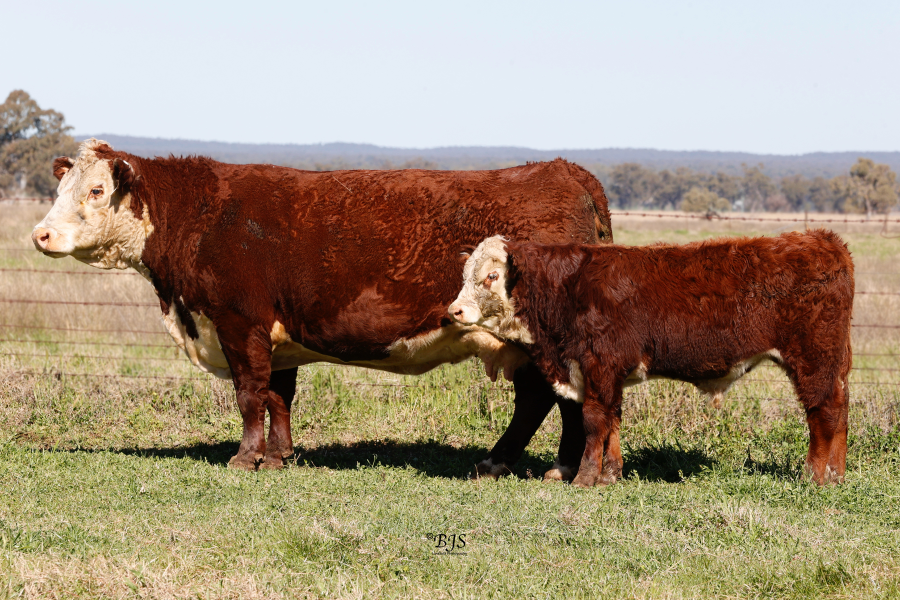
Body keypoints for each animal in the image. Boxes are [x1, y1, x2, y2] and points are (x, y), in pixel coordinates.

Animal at [32, 138, 613, 475]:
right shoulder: (276, 336)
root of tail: (563, 169)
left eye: (97, 190)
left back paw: (549, 468)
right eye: (59, 187)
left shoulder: (238, 322)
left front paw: (244, 458)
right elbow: (278, 396)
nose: (41, 234)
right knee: (541, 399)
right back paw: (511, 463)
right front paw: (279, 456)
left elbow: (249, 394)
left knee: (553, 399)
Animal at [449, 231, 854, 487]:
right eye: (465, 275)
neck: (564, 289)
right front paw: (610, 475)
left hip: (813, 359)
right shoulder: (607, 374)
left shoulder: (599, 364)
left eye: (492, 275)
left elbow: (594, 421)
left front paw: (584, 478)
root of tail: (824, 240)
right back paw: (836, 475)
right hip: (835, 363)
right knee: (841, 409)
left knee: (822, 412)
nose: (454, 311)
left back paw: (814, 477)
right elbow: (612, 420)